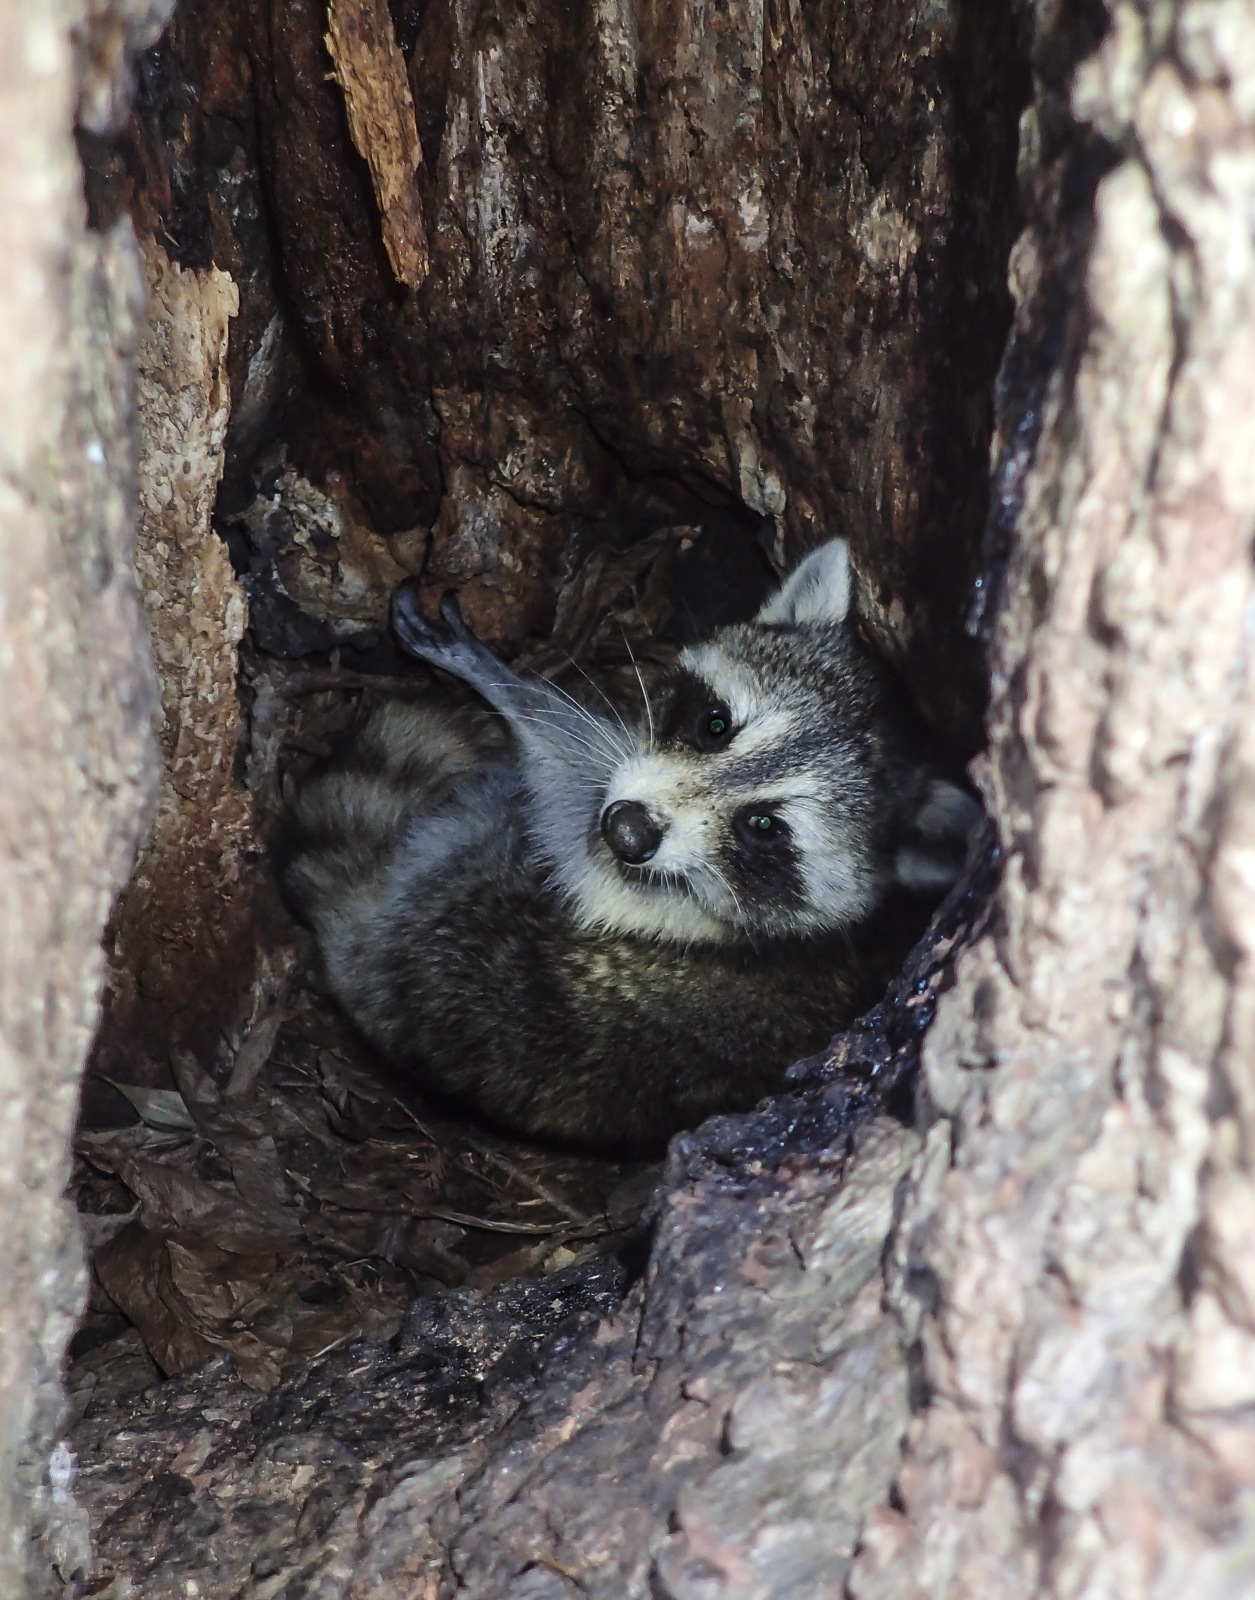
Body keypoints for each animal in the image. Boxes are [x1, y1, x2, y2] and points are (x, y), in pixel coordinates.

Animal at [280, 540, 978, 1155]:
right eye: (715, 724)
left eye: (764, 826)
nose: (627, 831)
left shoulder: (634, 887)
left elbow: (567, 791)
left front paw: (504, 684)